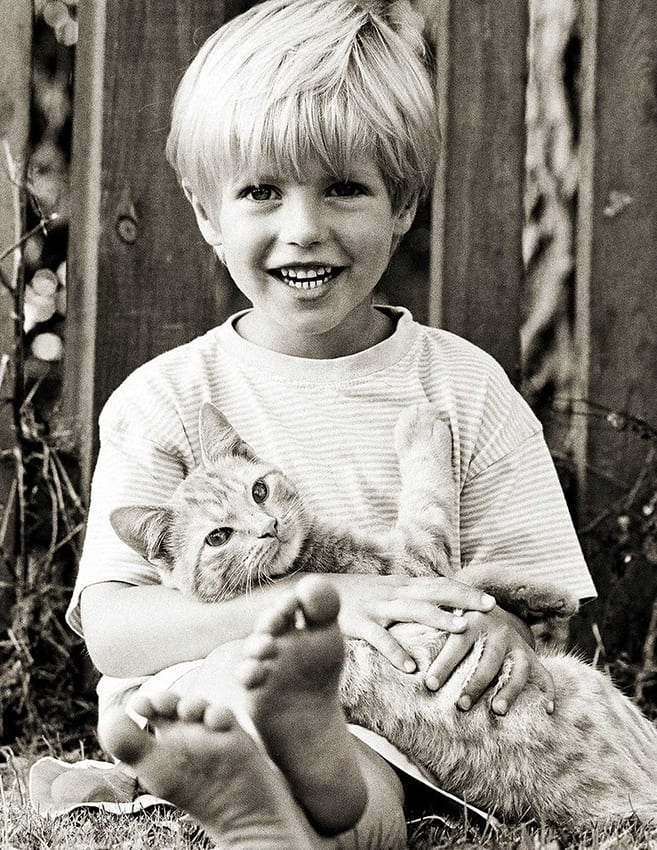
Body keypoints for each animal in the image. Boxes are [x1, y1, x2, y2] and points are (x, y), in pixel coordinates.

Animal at [110, 400, 656, 824]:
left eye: (259, 490)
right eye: (218, 537)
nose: (268, 527)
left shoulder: (423, 574)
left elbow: (478, 585)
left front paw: (543, 598)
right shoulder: (414, 560)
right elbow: (443, 528)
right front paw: (421, 427)